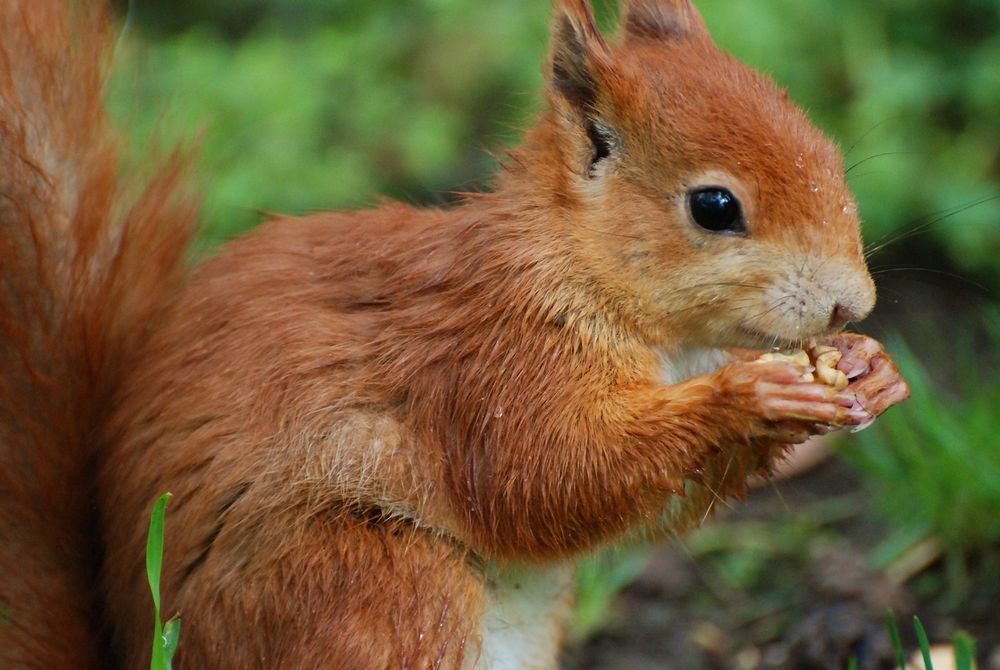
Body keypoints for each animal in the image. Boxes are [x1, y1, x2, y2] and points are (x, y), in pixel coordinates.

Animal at [0, 1, 912, 670]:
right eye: (714, 206)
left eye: (829, 151)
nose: (853, 305)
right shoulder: (492, 359)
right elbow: (547, 477)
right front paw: (748, 394)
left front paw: (871, 370)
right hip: (372, 583)